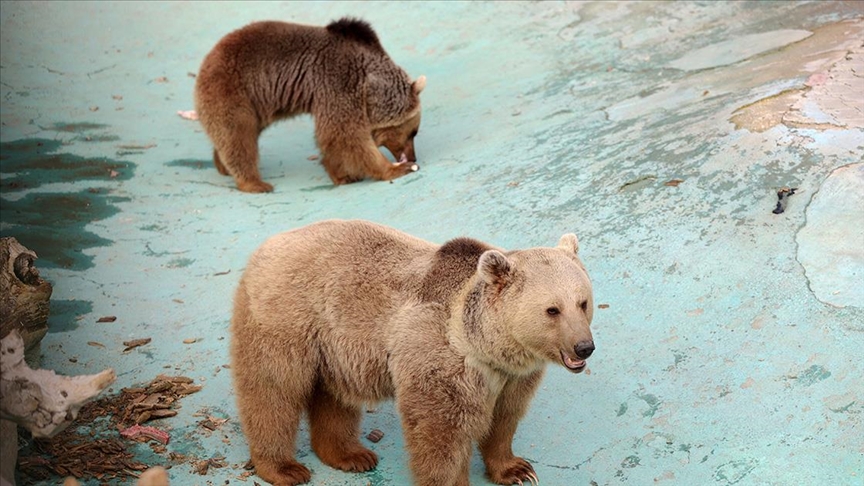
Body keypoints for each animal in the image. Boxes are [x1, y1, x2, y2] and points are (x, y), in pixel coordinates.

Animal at [195, 19, 426, 194]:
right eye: (413, 132)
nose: (414, 157)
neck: (367, 84)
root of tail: (206, 61)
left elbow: (335, 137)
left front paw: (342, 174)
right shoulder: (339, 81)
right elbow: (345, 134)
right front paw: (396, 168)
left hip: (257, 105)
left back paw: (222, 165)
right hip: (233, 92)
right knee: (239, 138)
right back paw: (255, 183)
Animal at [230, 220, 592, 486]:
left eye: (583, 302)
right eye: (552, 310)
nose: (584, 347)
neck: (485, 346)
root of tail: (267, 245)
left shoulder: (511, 376)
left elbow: (504, 418)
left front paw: (517, 470)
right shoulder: (439, 358)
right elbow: (441, 434)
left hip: (334, 345)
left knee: (333, 396)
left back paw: (350, 455)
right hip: (287, 316)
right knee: (273, 391)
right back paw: (284, 468)